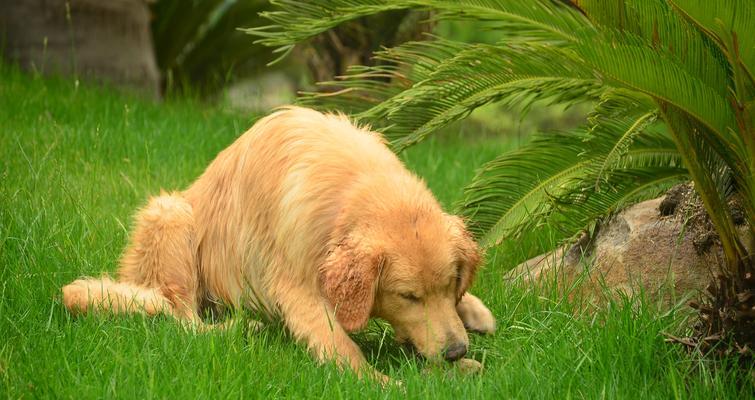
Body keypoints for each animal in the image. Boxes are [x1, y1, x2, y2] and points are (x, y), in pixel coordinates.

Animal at [62, 106, 500, 382]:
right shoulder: (299, 288)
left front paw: (470, 320)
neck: (353, 188)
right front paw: (386, 382)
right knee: (182, 320)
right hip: (171, 214)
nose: (456, 352)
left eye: (450, 284)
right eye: (408, 296)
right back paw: (241, 328)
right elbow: (342, 347)